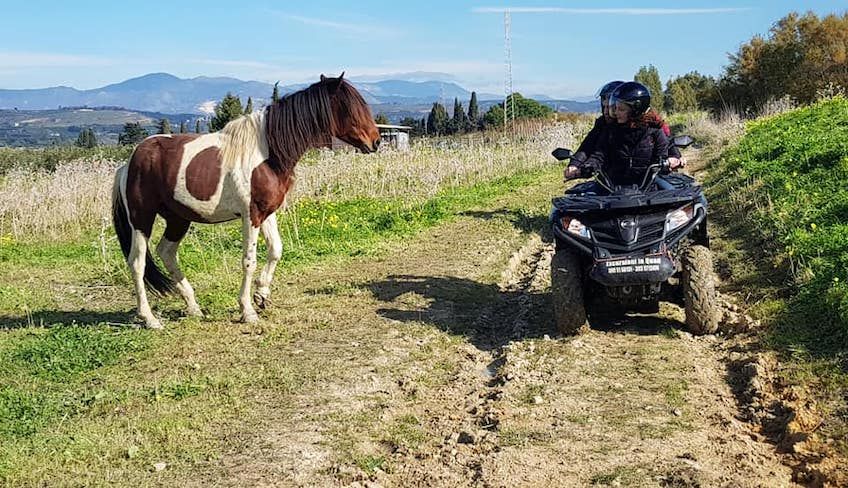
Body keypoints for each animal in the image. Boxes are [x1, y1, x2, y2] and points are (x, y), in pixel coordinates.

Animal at [112, 73, 380, 328]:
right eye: (350, 107)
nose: (375, 141)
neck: (268, 154)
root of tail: (130, 161)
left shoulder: (267, 213)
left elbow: (276, 250)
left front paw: (262, 295)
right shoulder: (251, 215)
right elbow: (249, 261)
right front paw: (247, 310)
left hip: (178, 218)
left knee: (166, 252)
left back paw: (194, 307)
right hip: (142, 219)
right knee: (137, 262)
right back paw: (149, 318)